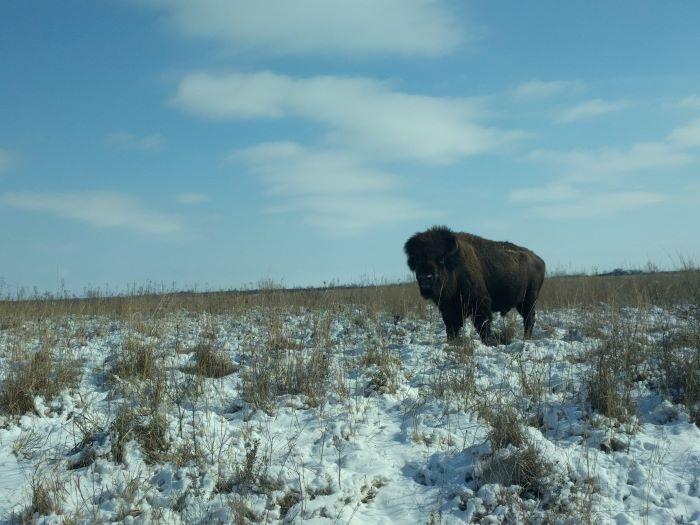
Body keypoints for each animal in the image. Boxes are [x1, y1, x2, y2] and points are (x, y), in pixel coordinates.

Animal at [402, 226, 544, 344]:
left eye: (441, 259)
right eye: (417, 260)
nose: (425, 278)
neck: (454, 265)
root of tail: (539, 260)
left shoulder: (480, 303)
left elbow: (482, 323)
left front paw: (488, 342)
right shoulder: (448, 308)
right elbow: (451, 326)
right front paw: (452, 341)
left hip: (529, 300)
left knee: (529, 319)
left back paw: (526, 338)